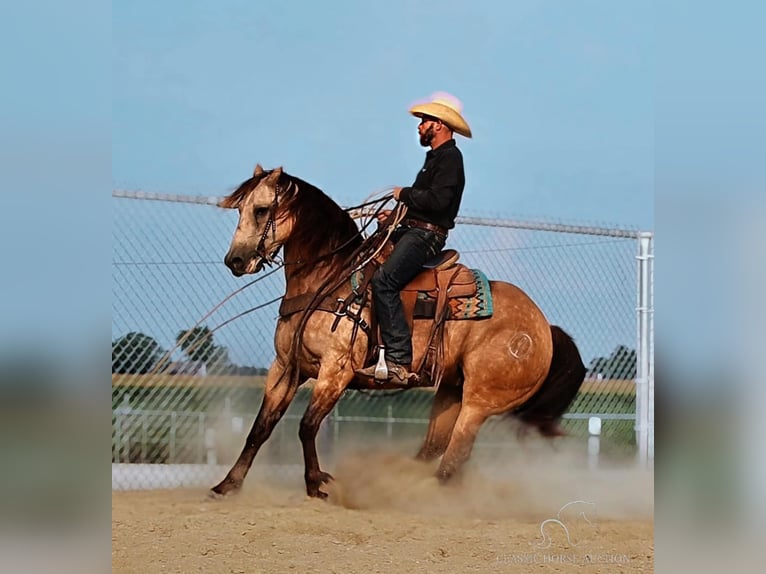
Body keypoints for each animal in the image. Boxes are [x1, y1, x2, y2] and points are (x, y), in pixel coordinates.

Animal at [210, 166, 588, 500]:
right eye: (241, 209)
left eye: (261, 210)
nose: (235, 261)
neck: (328, 278)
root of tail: (545, 328)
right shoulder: (286, 367)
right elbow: (261, 428)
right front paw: (228, 485)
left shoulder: (336, 371)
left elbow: (307, 426)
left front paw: (316, 484)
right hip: (451, 390)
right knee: (435, 449)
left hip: (481, 400)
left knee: (454, 456)